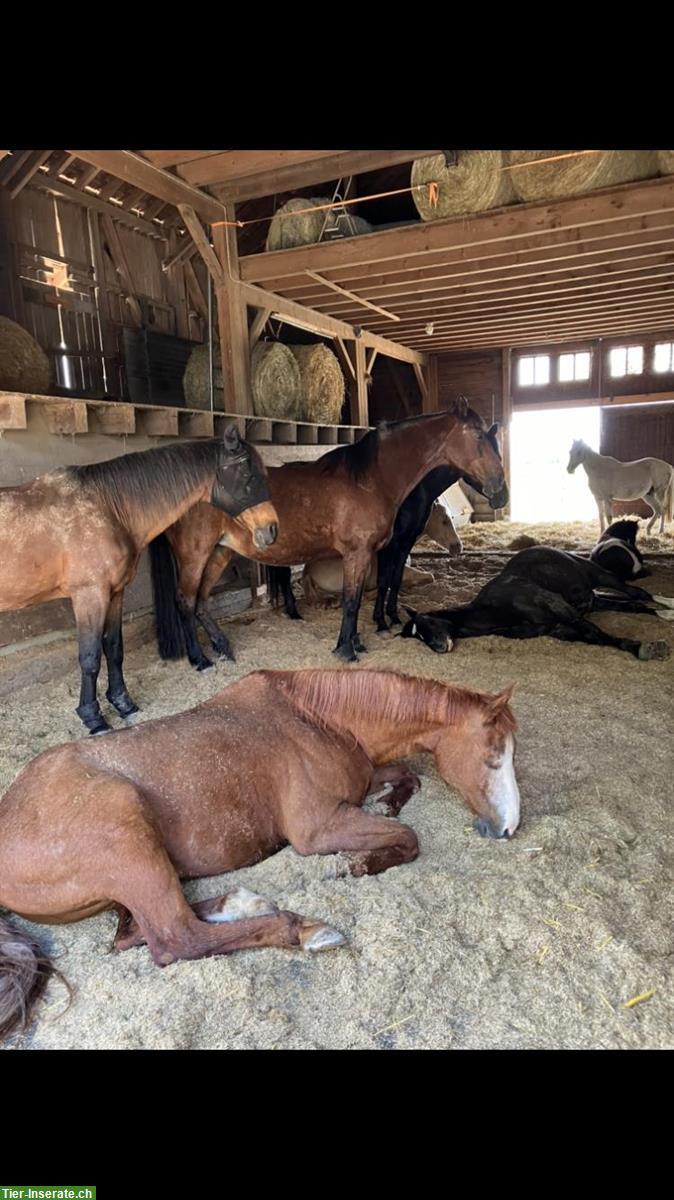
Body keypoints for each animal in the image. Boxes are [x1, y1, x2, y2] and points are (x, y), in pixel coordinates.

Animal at [0, 427, 278, 734]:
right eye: (248, 475)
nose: (271, 530)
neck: (107, 508)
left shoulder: (115, 593)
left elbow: (113, 648)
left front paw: (123, 704)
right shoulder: (90, 596)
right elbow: (90, 657)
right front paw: (93, 717)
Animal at [0, 667, 520, 1041]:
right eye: (494, 751)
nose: (510, 828)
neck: (320, 723)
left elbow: (408, 779)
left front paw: (389, 802)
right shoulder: (319, 828)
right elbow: (409, 838)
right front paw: (355, 865)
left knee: (134, 932)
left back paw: (242, 902)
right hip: (129, 836)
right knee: (174, 939)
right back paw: (305, 929)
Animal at [146, 400, 503, 667]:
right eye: (477, 435)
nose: (500, 490)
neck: (370, 479)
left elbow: (367, 593)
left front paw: (358, 641)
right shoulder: (359, 553)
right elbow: (352, 601)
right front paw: (347, 649)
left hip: (220, 552)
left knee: (201, 602)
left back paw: (223, 647)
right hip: (195, 555)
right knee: (185, 602)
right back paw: (200, 659)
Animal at [398, 549, 671, 662]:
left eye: (426, 623)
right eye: (417, 638)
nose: (438, 647)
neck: (496, 610)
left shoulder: (559, 608)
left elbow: (595, 632)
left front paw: (645, 647)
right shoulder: (558, 628)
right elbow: (596, 637)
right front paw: (640, 649)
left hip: (601, 576)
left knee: (637, 592)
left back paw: (669, 607)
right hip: (595, 601)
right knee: (634, 605)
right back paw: (662, 613)